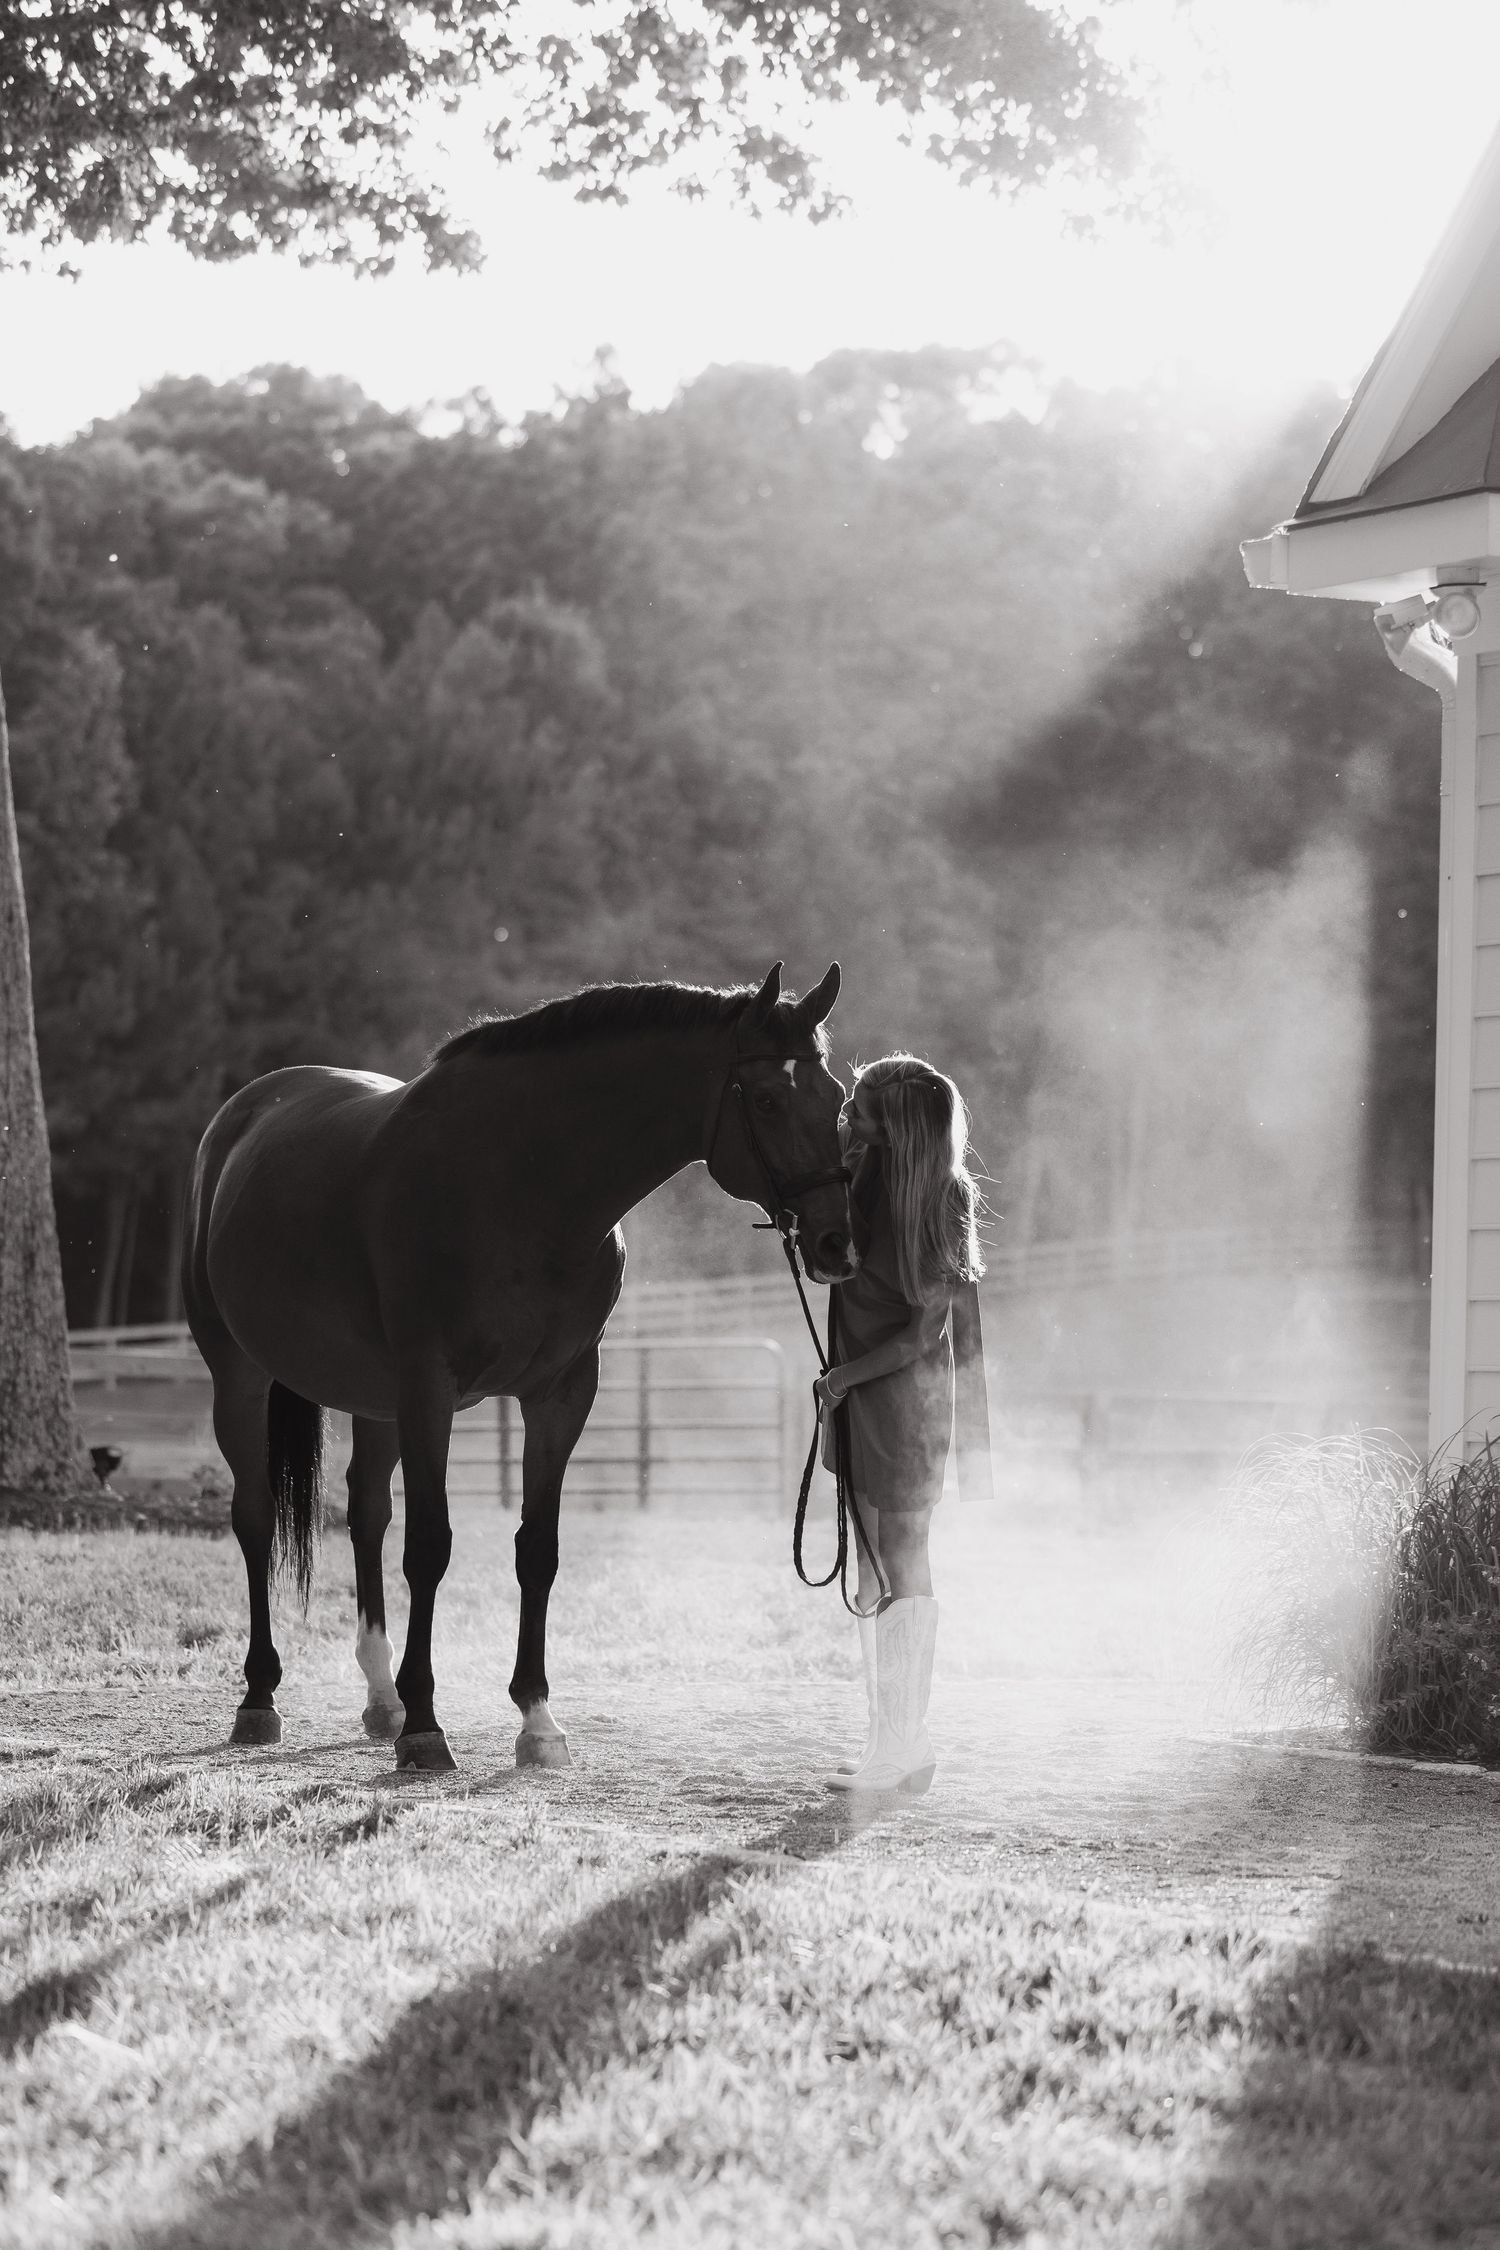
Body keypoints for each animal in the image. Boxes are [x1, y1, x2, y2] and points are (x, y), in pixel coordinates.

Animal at [182, 962, 854, 1773]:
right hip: (241, 1376)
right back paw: (262, 1697)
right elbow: (430, 1546)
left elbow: (538, 1549)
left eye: (836, 1096)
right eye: (766, 1099)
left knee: (366, 1514)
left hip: (374, 1400)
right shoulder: (429, 1387)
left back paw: (379, 1697)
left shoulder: (561, 1394)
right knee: (253, 1518)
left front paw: (536, 1720)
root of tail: (239, 1118)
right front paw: (425, 1726)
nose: (836, 1242)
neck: (520, 1183)